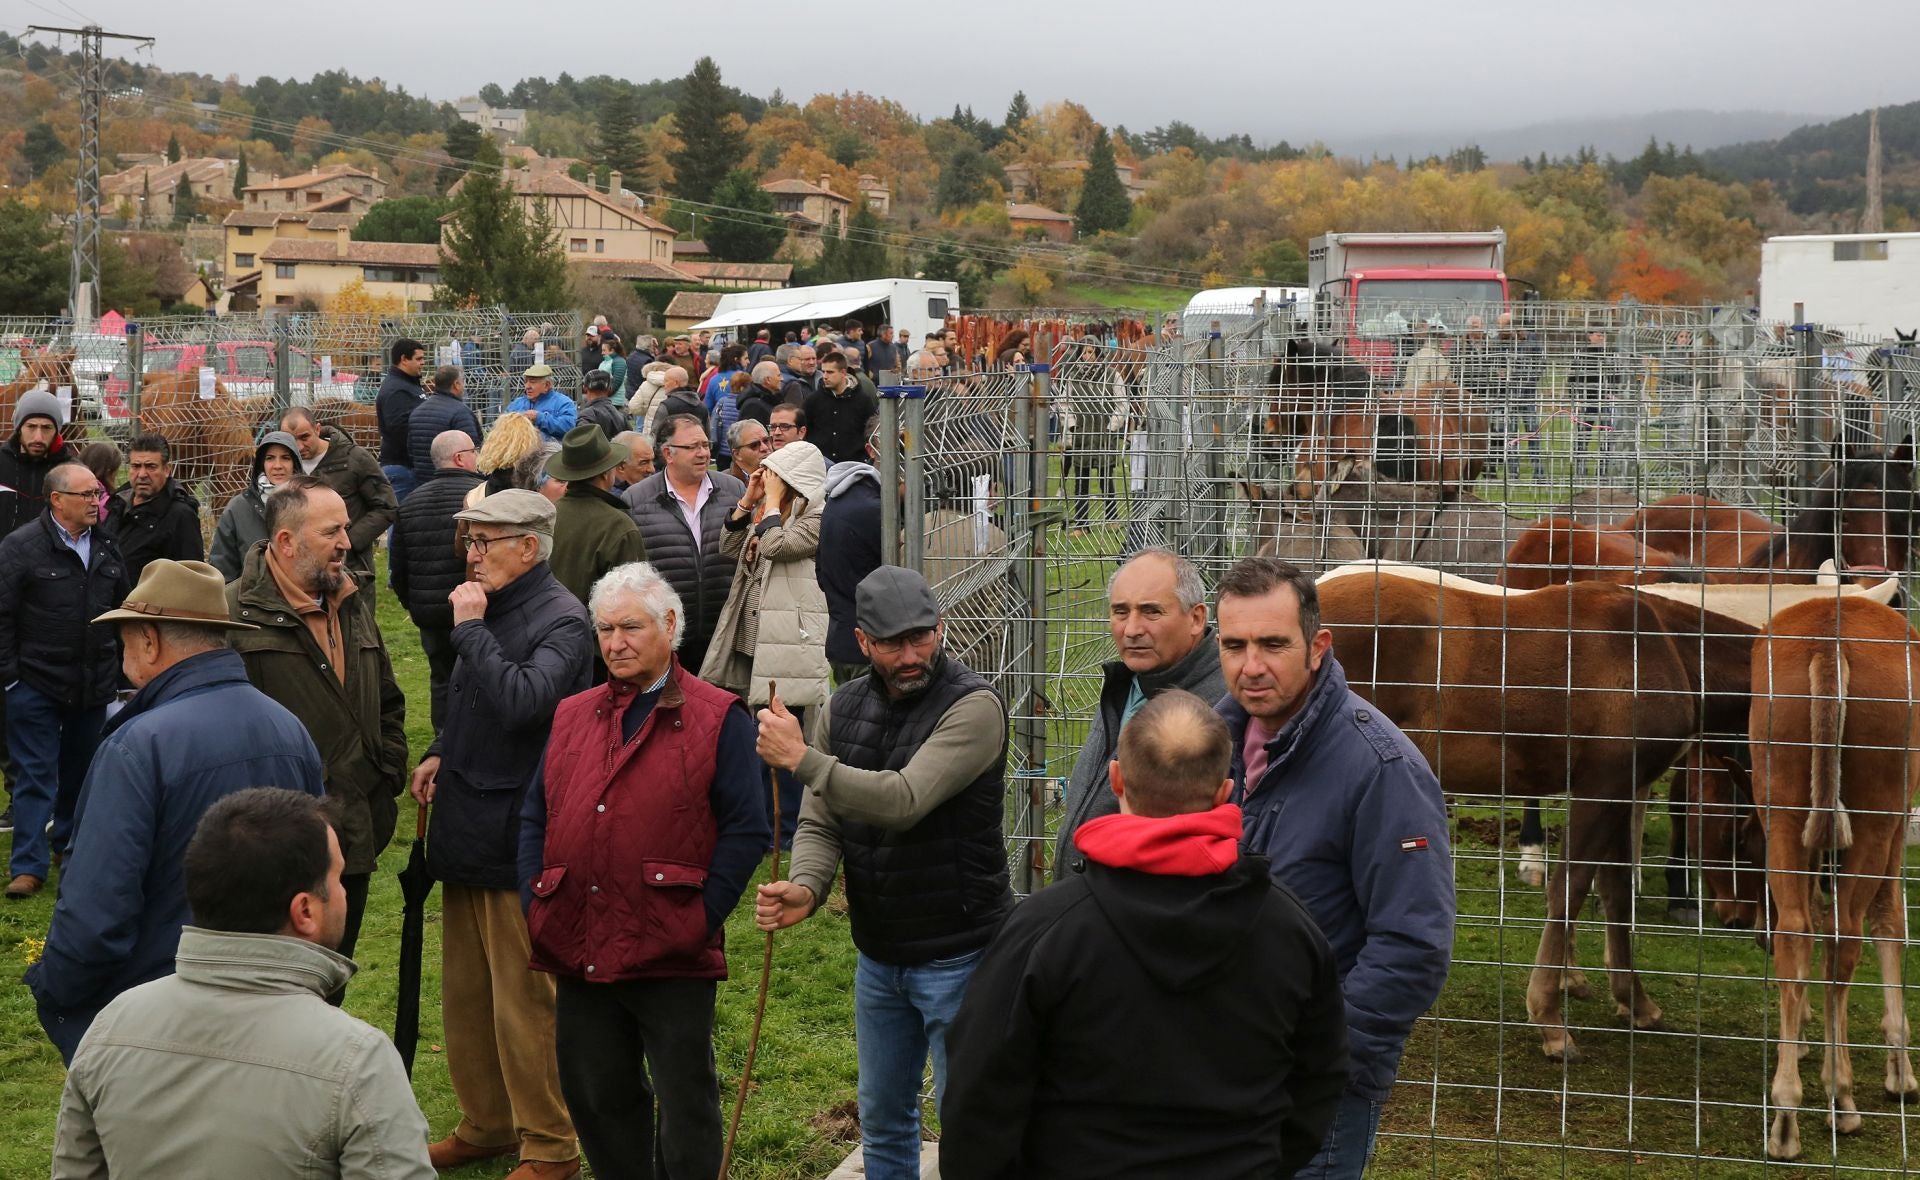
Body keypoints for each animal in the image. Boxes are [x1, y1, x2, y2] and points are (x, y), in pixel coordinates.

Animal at [1758, 598, 1920, 1166]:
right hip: (1875, 811)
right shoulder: (1895, 827)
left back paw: (1785, 1115)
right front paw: (1901, 1070)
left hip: (1782, 807)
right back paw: (1840, 1097)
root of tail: (1830, 641)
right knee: (1845, 936)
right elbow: (1891, 920)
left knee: (1796, 931)